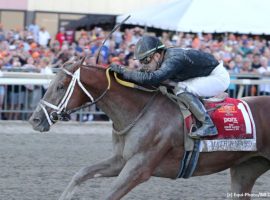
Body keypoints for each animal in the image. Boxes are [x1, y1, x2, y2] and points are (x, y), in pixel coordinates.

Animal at [28, 57, 270, 199]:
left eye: (60, 87)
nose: (35, 120)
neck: (140, 111)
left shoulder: (139, 168)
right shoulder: (121, 161)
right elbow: (81, 173)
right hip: (245, 170)